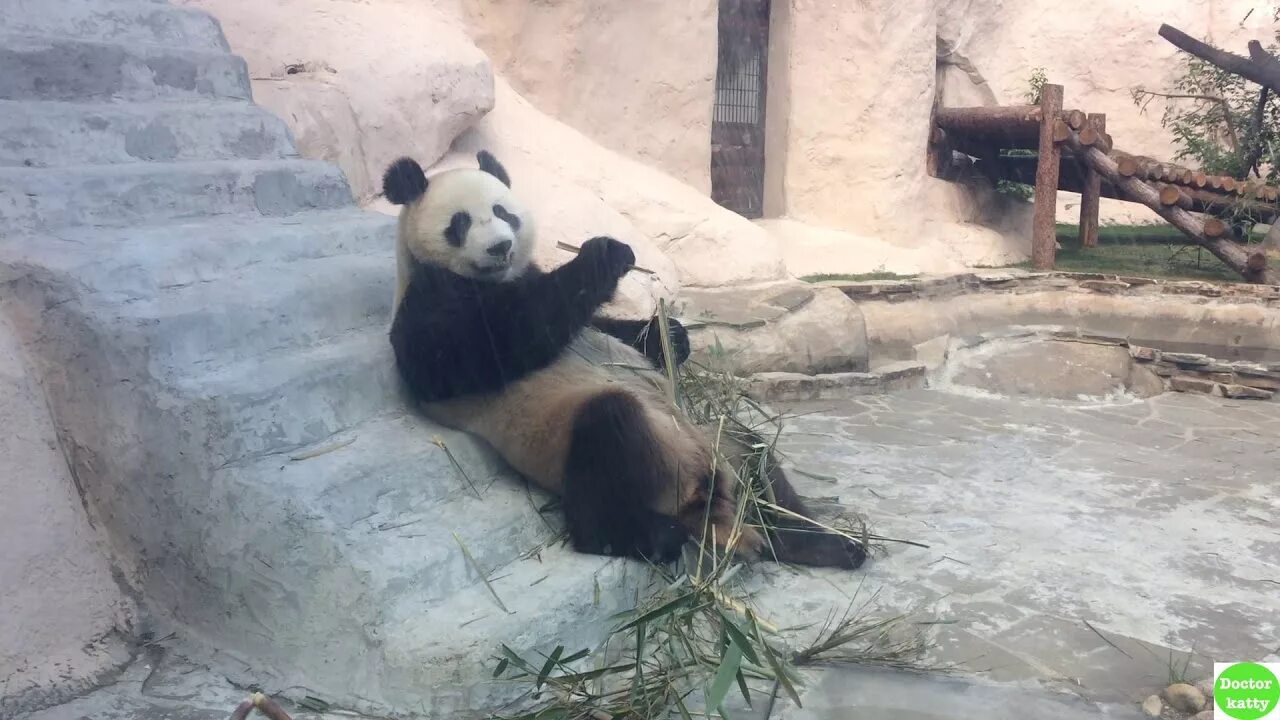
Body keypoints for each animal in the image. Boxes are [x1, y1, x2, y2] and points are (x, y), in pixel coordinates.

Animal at [381, 149, 870, 566]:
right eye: (460, 223)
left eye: (504, 212)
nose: (500, 247)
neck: (494, 279)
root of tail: (709, 503)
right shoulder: (429, 304)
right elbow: (489, 343)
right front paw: (604, 256)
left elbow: (610, 330)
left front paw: (670, 335)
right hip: (603, 445)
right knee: (608, 438)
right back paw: (648, 537)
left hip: (716, 441)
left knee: (756, 456)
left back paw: (823, 544)